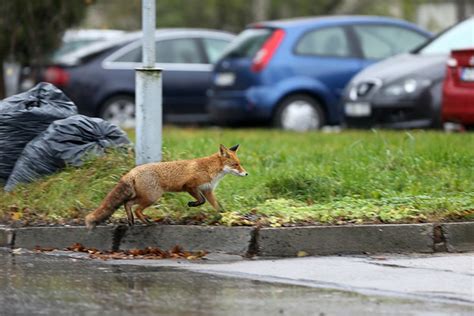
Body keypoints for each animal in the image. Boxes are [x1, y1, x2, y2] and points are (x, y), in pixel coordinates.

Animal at [85, 144, 248, 228]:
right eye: (236, 165)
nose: (246, 174)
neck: (209, 169)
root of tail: (131, 171)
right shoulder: (190, 186)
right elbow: (200, 201)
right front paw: (192, 204)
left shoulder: (207, 190)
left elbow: (218, 207)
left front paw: (224, 216)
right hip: (152, 197)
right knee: (135, 208)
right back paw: (146, 222)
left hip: (146, 197)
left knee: (127, 203)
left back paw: (132, 221)